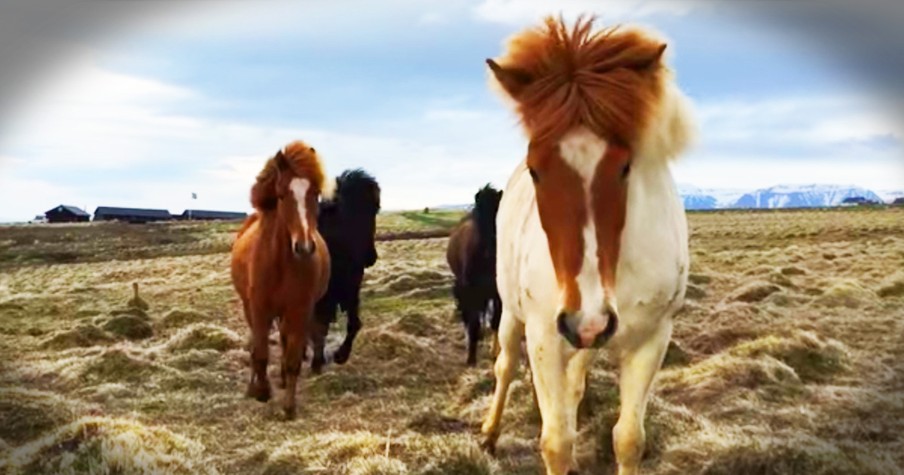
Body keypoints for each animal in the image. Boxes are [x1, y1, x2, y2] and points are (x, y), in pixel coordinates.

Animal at [231, 141, 334, 420]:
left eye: (315, 194)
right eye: (282, 195)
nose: (304, 247)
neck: (280, 263)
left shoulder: (299, 310)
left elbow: (293, 359)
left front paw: (289, 407)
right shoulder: (259, 309)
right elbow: (260, 353)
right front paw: (261, 391)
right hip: (250, 308)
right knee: (256, 348)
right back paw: (253, 386)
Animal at [448, 184, 504, 366]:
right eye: (480, 215)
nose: (493, 248)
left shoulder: (497, 293)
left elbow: (496, 321)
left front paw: (495, 352)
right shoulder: (471, 291)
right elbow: (473, 322)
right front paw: (471, 357)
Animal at [484, 16, 696, 474]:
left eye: (625, 166)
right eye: (535, 169)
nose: (587, 320)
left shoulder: (652, 338)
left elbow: (628, 439)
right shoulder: (545, 335)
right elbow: (556, 441)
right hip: (514, 313)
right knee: (505, 365)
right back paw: (489, 433)